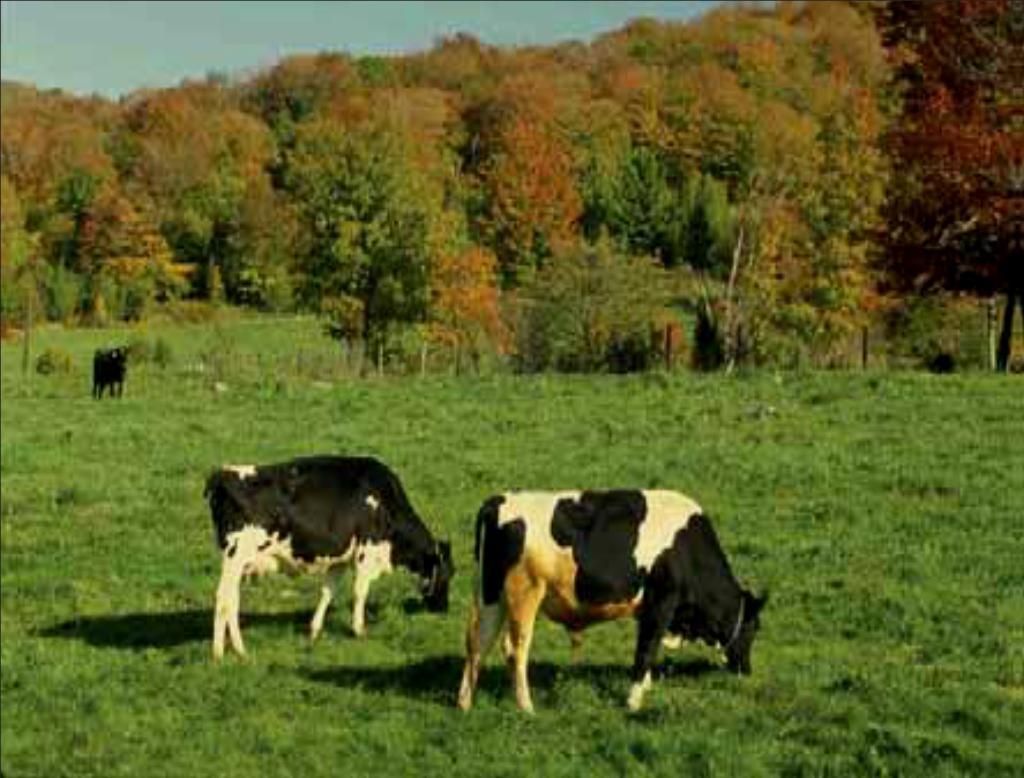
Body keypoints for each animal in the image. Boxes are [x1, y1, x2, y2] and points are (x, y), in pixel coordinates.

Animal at [203, 456, 452, 663]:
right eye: (449, 575)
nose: (444, 609)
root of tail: (222, 474)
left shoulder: (340, 558)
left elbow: (328, 591)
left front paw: (314, 630)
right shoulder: (366, 551)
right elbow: (359, 592)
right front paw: (359, 630)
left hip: (239, 562)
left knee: (232, 599)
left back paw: (237, 650)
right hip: (235, 556)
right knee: (223, 598)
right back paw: (221, 653)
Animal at [458, 489, 770, 712]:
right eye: (754, 628)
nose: (747, 670)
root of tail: (499, 501)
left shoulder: (648, 609)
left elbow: (646, 645)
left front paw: (644, 687)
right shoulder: (662, 601)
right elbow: (646, 650)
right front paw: (634, 701)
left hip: (491, 595)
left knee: (478, 643)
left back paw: (464, 703)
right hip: (524, 593)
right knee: (514, 649)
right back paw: (526, 707)